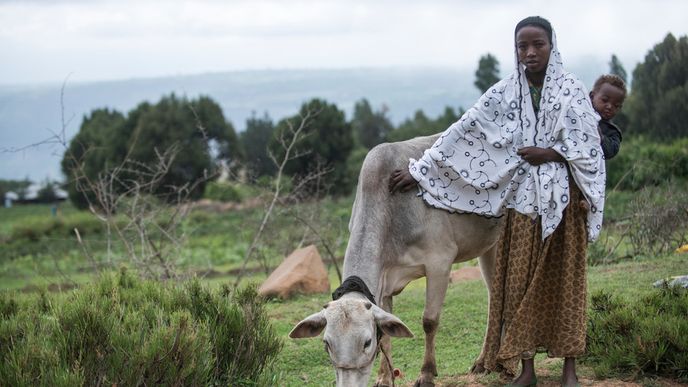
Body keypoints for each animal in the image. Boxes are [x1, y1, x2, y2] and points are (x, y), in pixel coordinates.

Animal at [288, 135, 500, 386]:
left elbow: (429, 321)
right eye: (327, 344)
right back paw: (483, 361)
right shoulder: (384, 281)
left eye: (367, 342)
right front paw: (384, 377)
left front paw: (426, 373)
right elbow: (387, 331)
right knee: (493, 296)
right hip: (488, 247)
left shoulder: (440, 262)